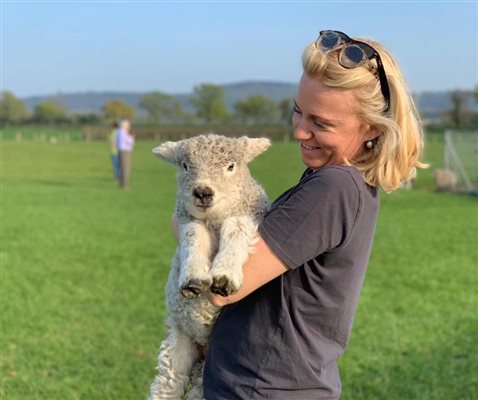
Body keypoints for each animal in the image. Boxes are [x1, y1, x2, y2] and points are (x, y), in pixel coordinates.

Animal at [148, 133, 270, 398]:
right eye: (185, 166)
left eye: (231, 166)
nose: (202, 192)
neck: (214, 220)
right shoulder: (188, 219)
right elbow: (193, 235)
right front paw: (193, 278)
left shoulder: (249, 213)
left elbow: (235, 228)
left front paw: (224, 276)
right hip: (178, 342)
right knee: (167, 384)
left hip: (206, 373)